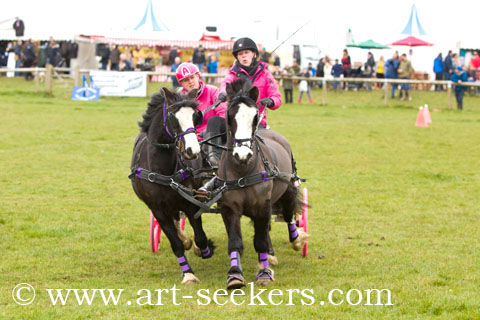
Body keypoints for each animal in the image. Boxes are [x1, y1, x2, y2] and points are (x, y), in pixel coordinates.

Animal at [130, 87, 215, 284]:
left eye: (195, 116)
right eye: (173, 118)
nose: (192, 151)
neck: (164, 168)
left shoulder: (191, 203)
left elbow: (200, 236)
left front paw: (205, 249)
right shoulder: (157, 209)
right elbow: (175, 243)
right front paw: (188, 274)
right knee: (175, 223)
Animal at [218, 79, 308, 288]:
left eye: (254, 117)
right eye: (229, 116)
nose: (242, 155)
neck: (243, 171)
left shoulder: (262, 205)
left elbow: (259, 241)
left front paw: (264, 272)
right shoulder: (229, 208)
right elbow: (235, 242)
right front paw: (235, 274)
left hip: (287, 190)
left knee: (288, 215)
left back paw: (295, 241)